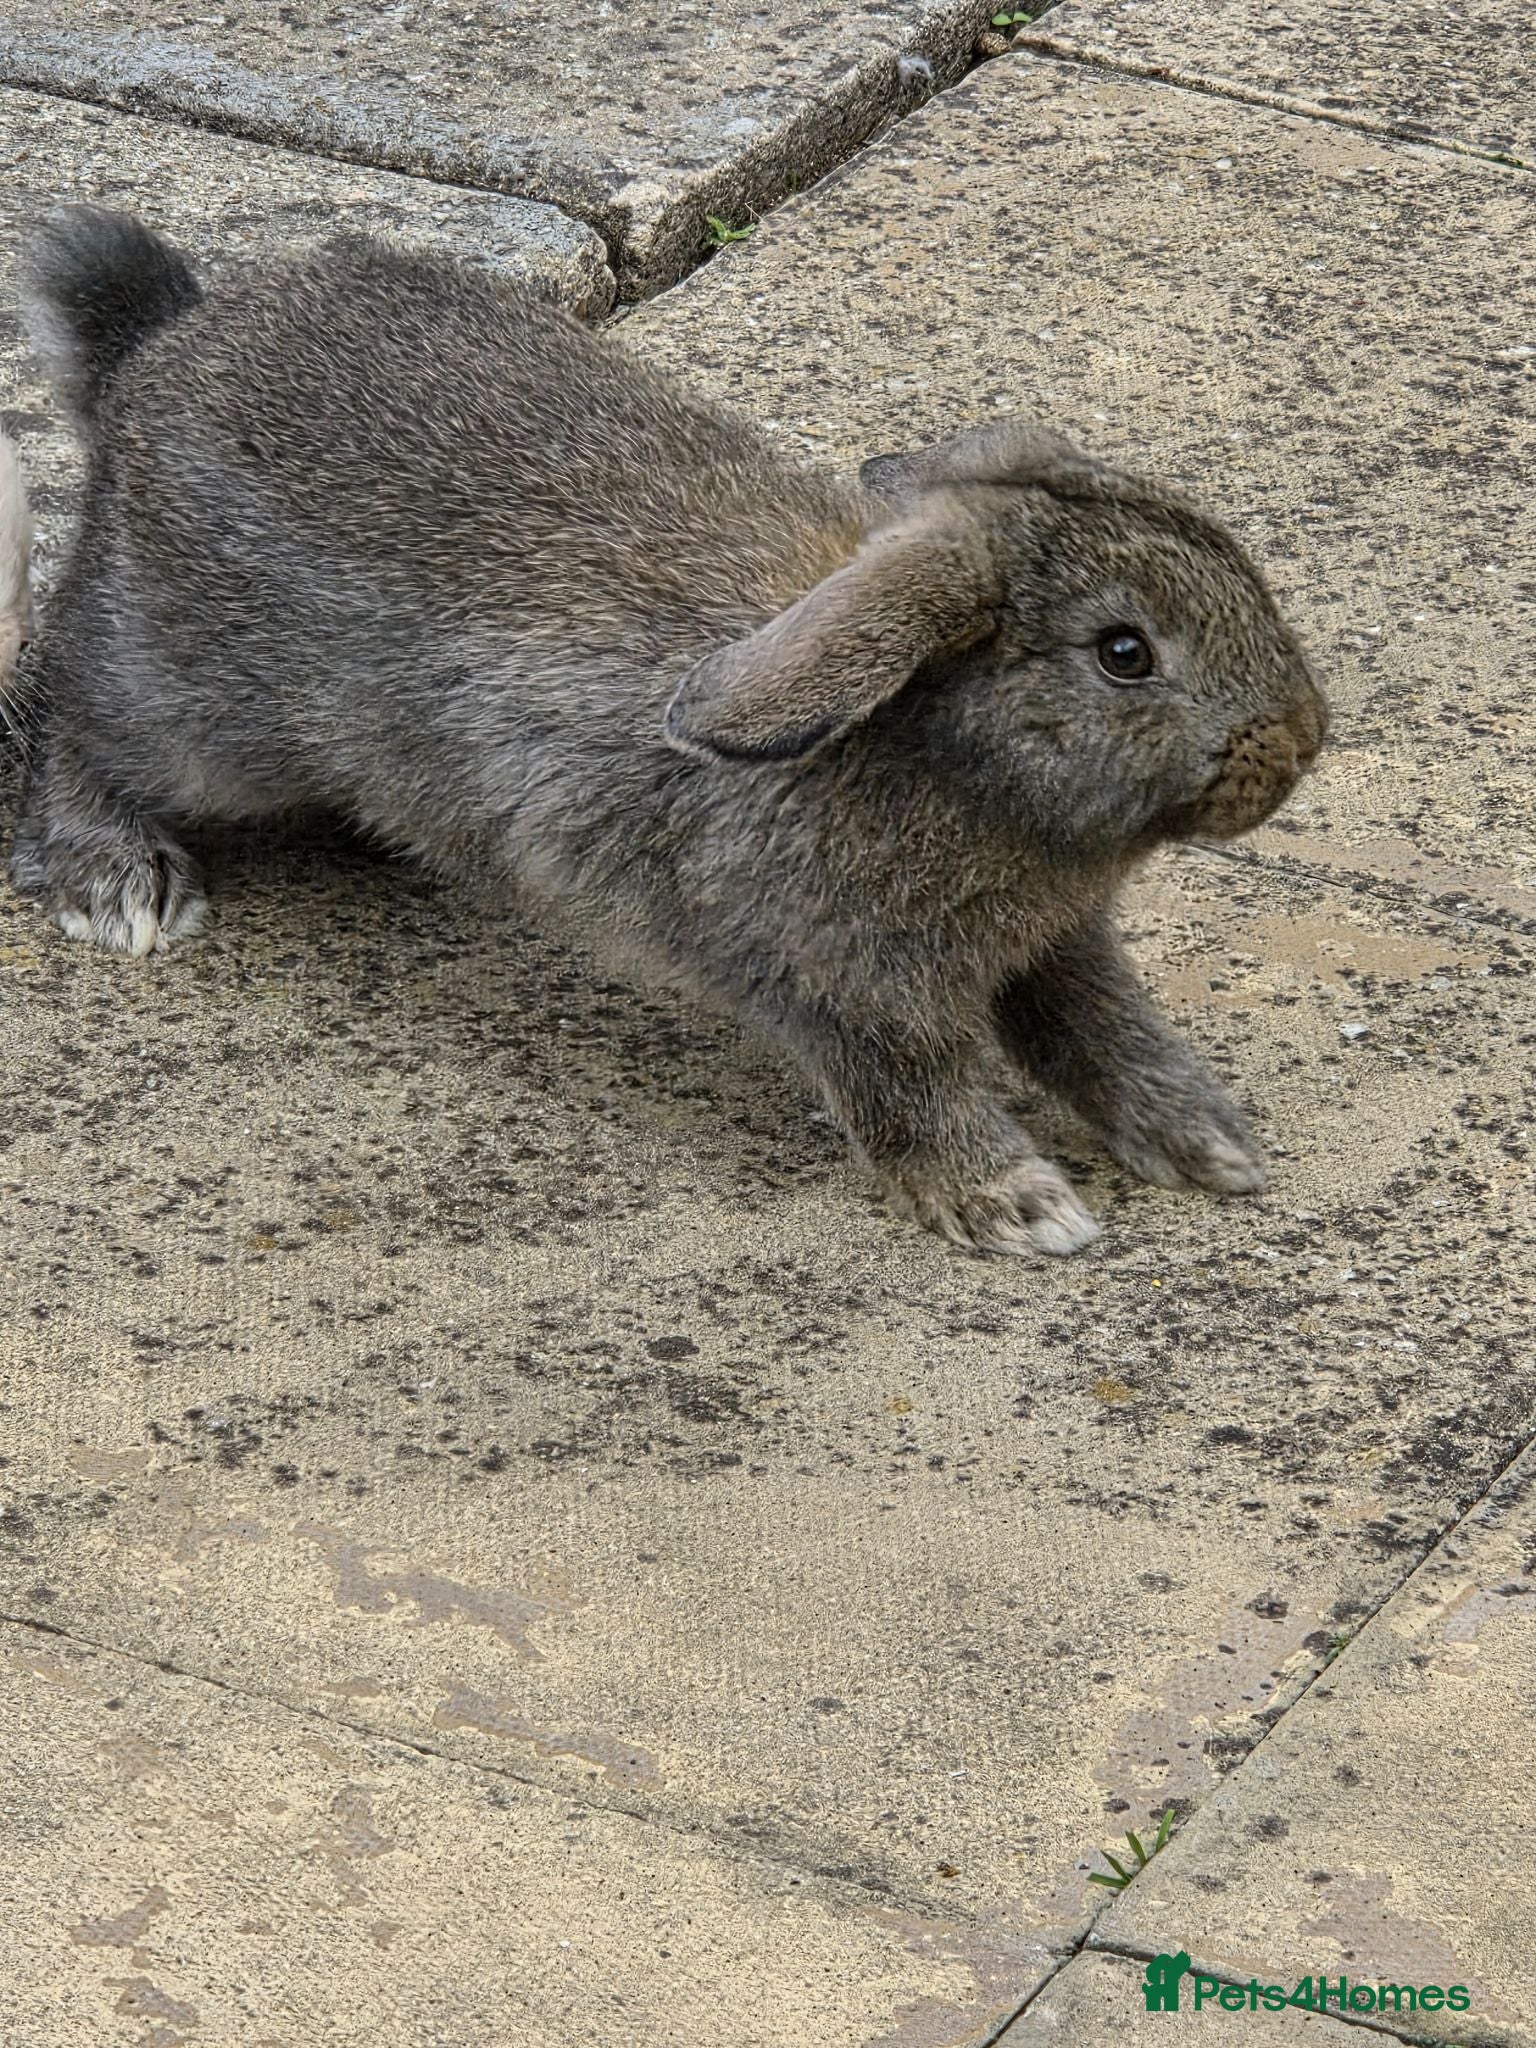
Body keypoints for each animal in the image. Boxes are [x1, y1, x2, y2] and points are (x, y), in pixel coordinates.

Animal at [9, 205, 1327, 1257]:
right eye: (1125, 651)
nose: (1301, 741)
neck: (934, 749)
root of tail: (151, 357)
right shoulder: (839, 983)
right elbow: (913, 1089)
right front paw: (1019, 1208)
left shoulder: (1055, 946)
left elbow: (1103, 1029)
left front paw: (1208, 1142)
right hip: (194, 709)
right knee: (72, 703)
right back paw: (121, 885)